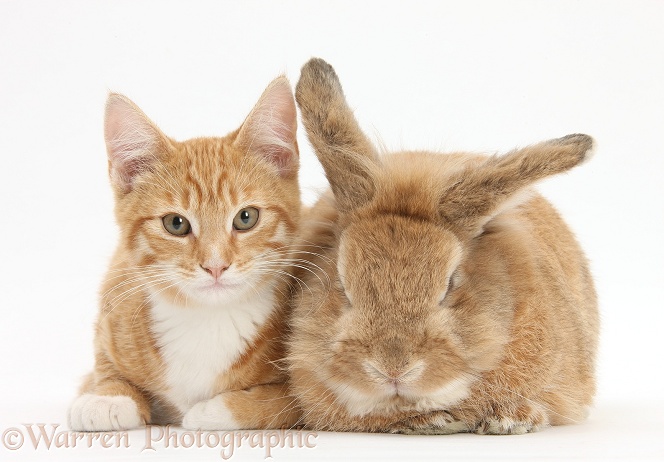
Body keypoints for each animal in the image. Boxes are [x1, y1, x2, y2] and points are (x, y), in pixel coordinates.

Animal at [68, 76, 302, 434]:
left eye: (246, 217)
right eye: (175, 224)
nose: (216, 265)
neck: (206, 319)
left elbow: (285, 401)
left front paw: (213, 409)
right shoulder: (114, 295)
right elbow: (104, 366)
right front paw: (108, 397)